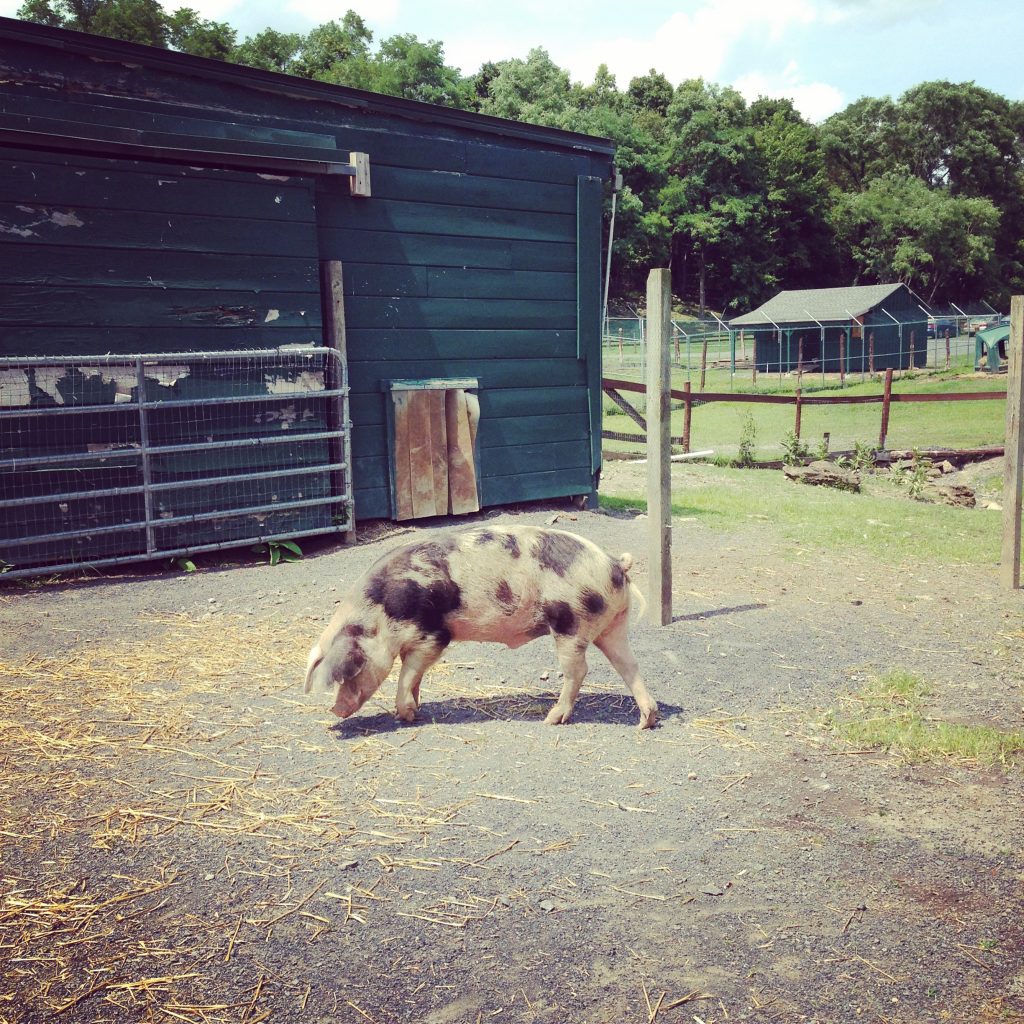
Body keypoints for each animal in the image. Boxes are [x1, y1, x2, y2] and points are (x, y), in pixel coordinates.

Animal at [299, 528, 659, 729]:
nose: (335, 709)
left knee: (579, 670)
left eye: (350, 672)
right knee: (630, 665)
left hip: (571, 623)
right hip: (613, 624)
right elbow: (413, 677)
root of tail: (614, 563)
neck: (379, 614)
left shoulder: (432, 636)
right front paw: (415, 709)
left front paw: (405, 715)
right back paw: (646, 722)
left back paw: (552, 719)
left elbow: (409, 672)